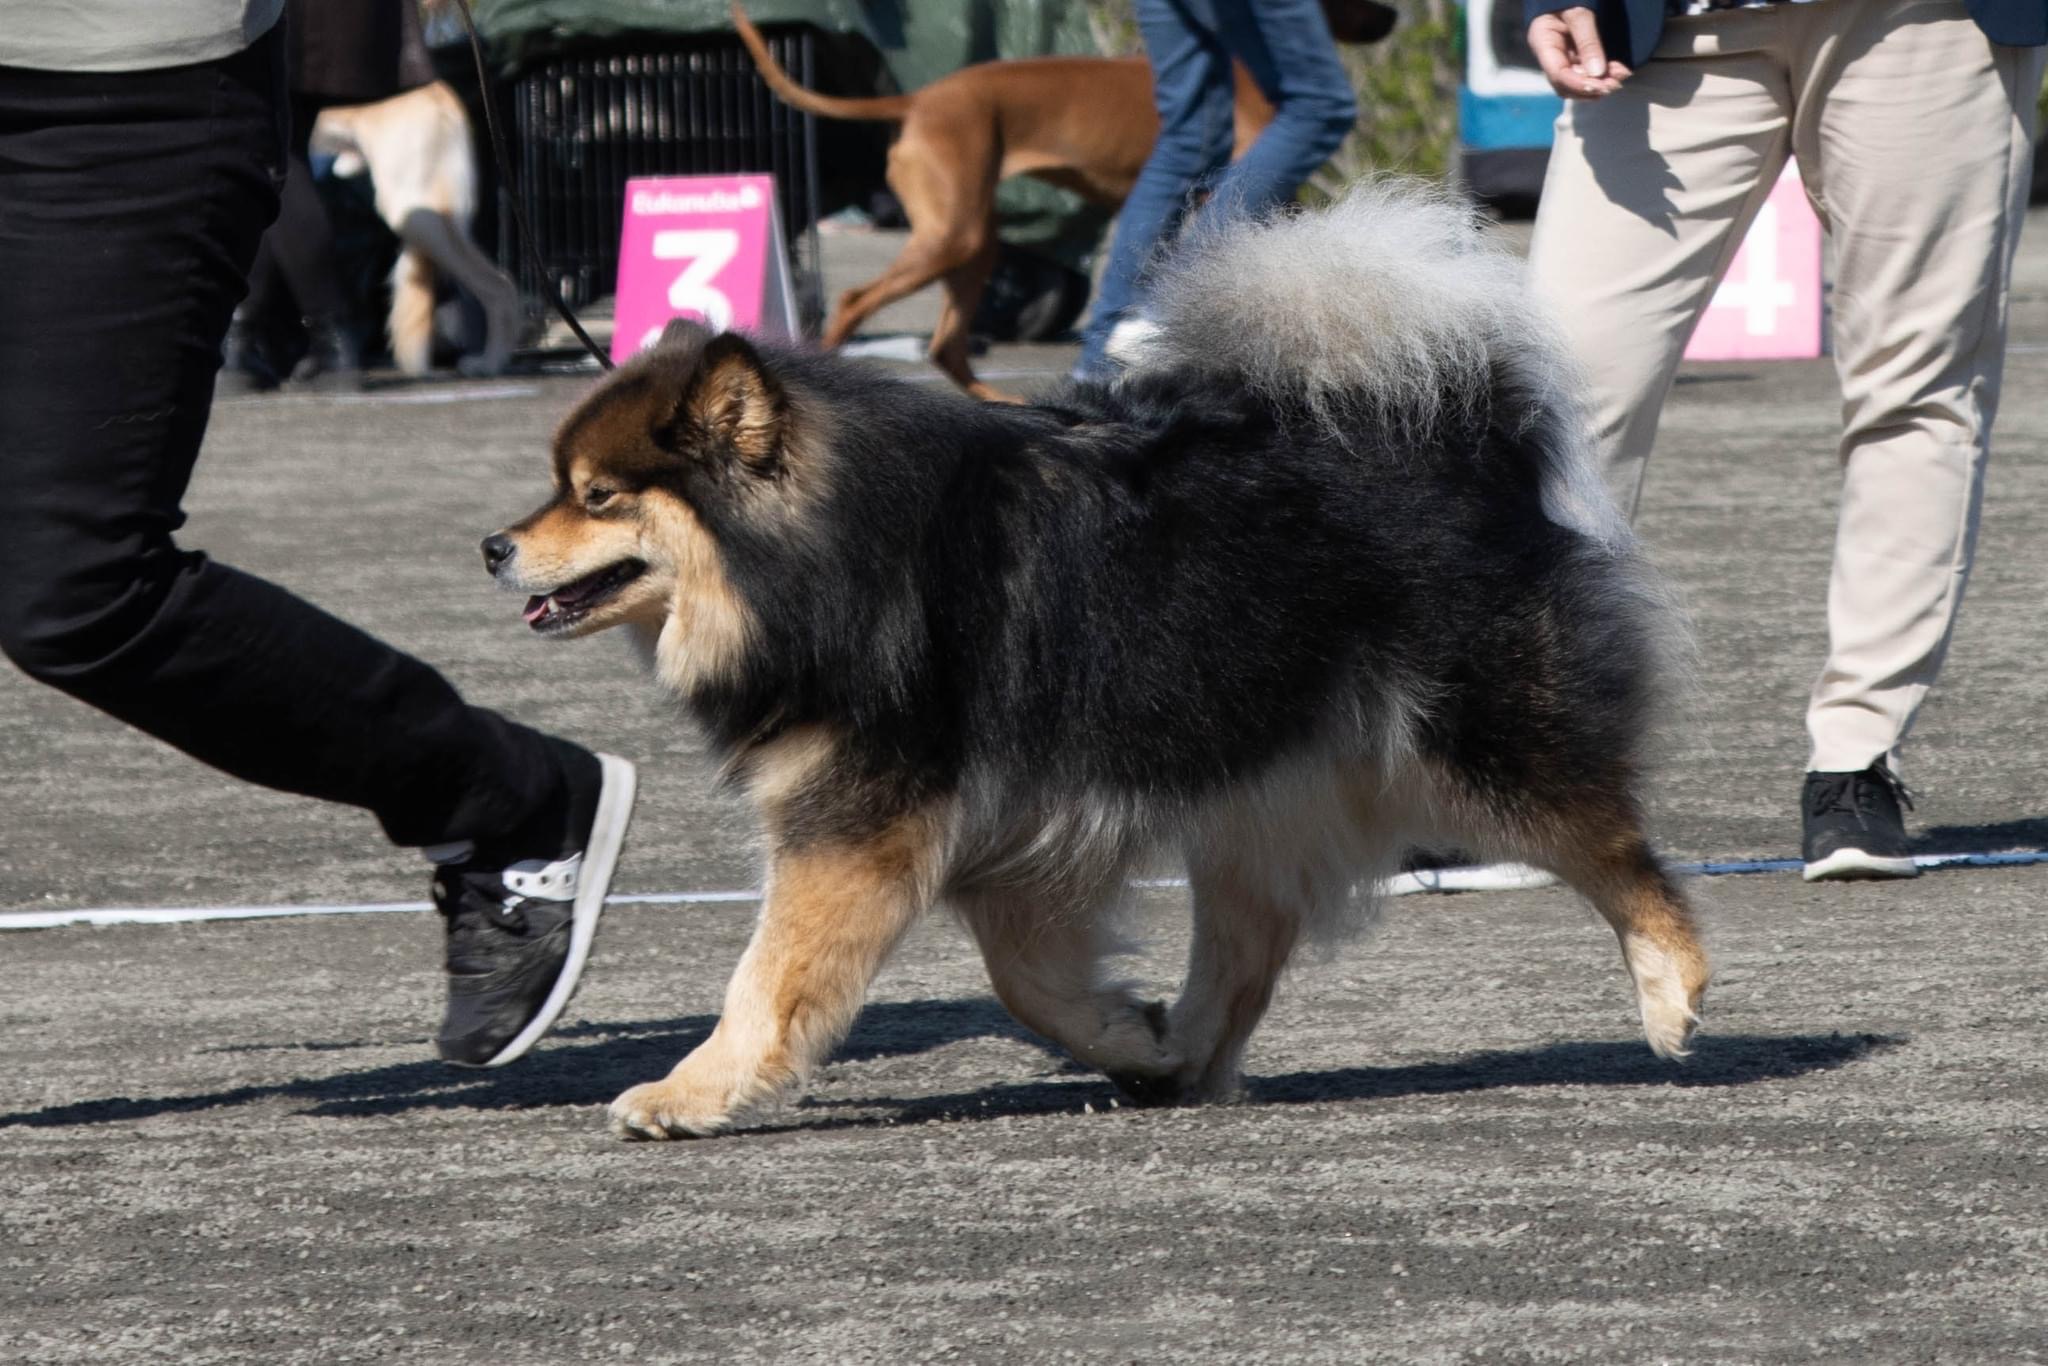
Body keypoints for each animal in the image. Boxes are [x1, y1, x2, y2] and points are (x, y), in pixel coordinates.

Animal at [487, 184, 1703, 1146]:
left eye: (597, 496)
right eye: (560, 486)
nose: (494, 545)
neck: (831, 556)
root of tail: (1464, 430)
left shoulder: (852, 827)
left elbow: (767, 978)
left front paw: (692, 1092)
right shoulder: (1002, 842)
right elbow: (1028, 984)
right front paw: (1132, 1036)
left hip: (1478, 746)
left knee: (1614, 851)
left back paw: (1672, 989)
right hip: (1254, 776)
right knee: (1247, 940)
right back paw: (1186, 1057)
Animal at [733, 0, 1392, 397]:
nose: (1390, 16)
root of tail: (921, 99)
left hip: (973, 241)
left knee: (947, 347)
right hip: (952, 237)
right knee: (853, 304)